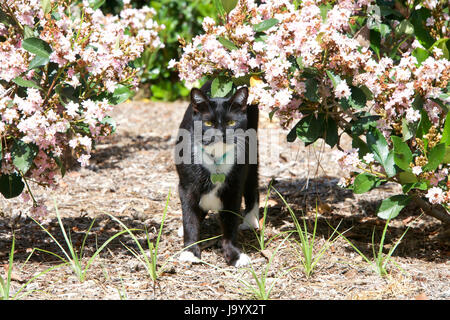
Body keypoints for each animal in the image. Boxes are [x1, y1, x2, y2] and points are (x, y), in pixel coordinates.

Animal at [176, 81, 260, 266]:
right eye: (207, 123)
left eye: (231, 122)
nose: (220, 134)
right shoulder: (187, 186)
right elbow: (189, 215)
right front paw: (190, 251)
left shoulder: (234, 188)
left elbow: (230, 221)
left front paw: (234, 254)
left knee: (252, 182)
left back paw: (251, 219)